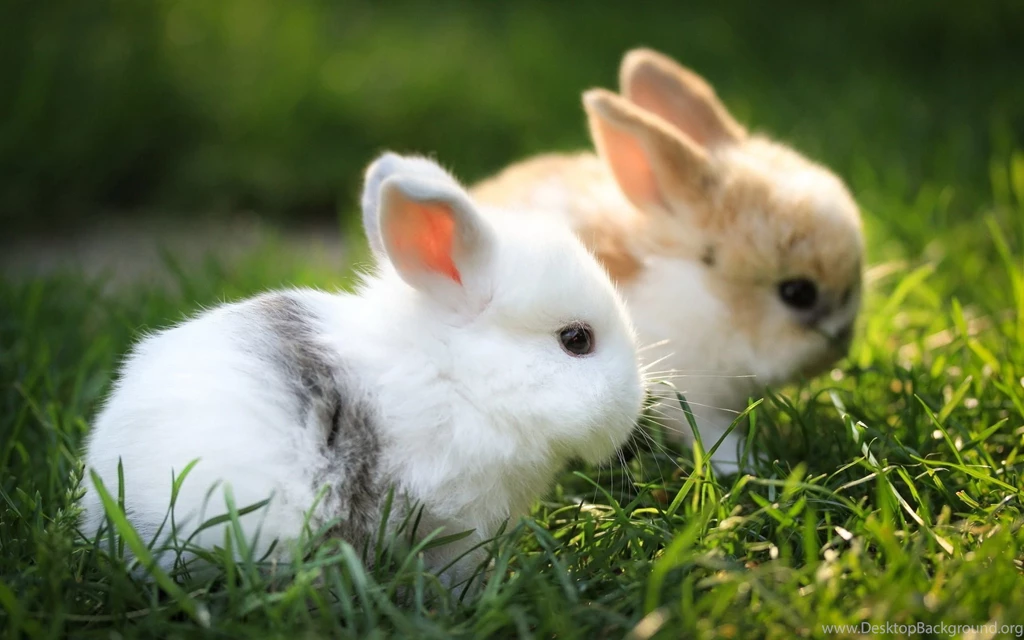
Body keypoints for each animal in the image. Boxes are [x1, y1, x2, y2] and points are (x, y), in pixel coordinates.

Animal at [472, 48, 864, 473]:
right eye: (797, 292)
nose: (840, 346)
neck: (708, 298)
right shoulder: (689, 393)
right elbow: (710, 433)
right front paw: (749, 464)